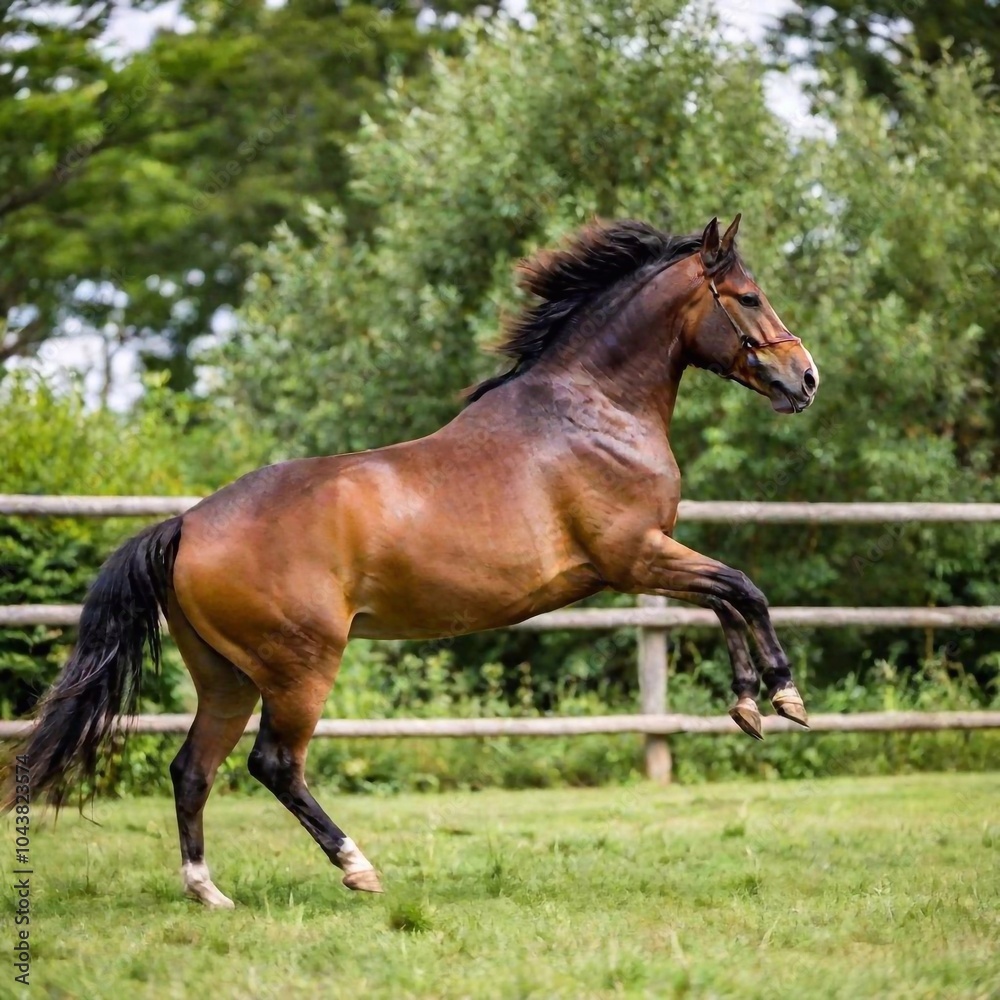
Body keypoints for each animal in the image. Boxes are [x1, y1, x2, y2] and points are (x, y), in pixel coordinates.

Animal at [3, 213, 820, 908]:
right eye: (749, 297)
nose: (805, 378)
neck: (593, 410)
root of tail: (187, 524)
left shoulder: (645, 559)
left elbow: (725, 597)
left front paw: (748, 702)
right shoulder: (635, 555)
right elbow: (742, 588)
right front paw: (782, 696)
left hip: (226, 677)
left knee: (192, 768)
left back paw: (208, 892)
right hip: (300, 668)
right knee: (274, 764)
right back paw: (358, 870)